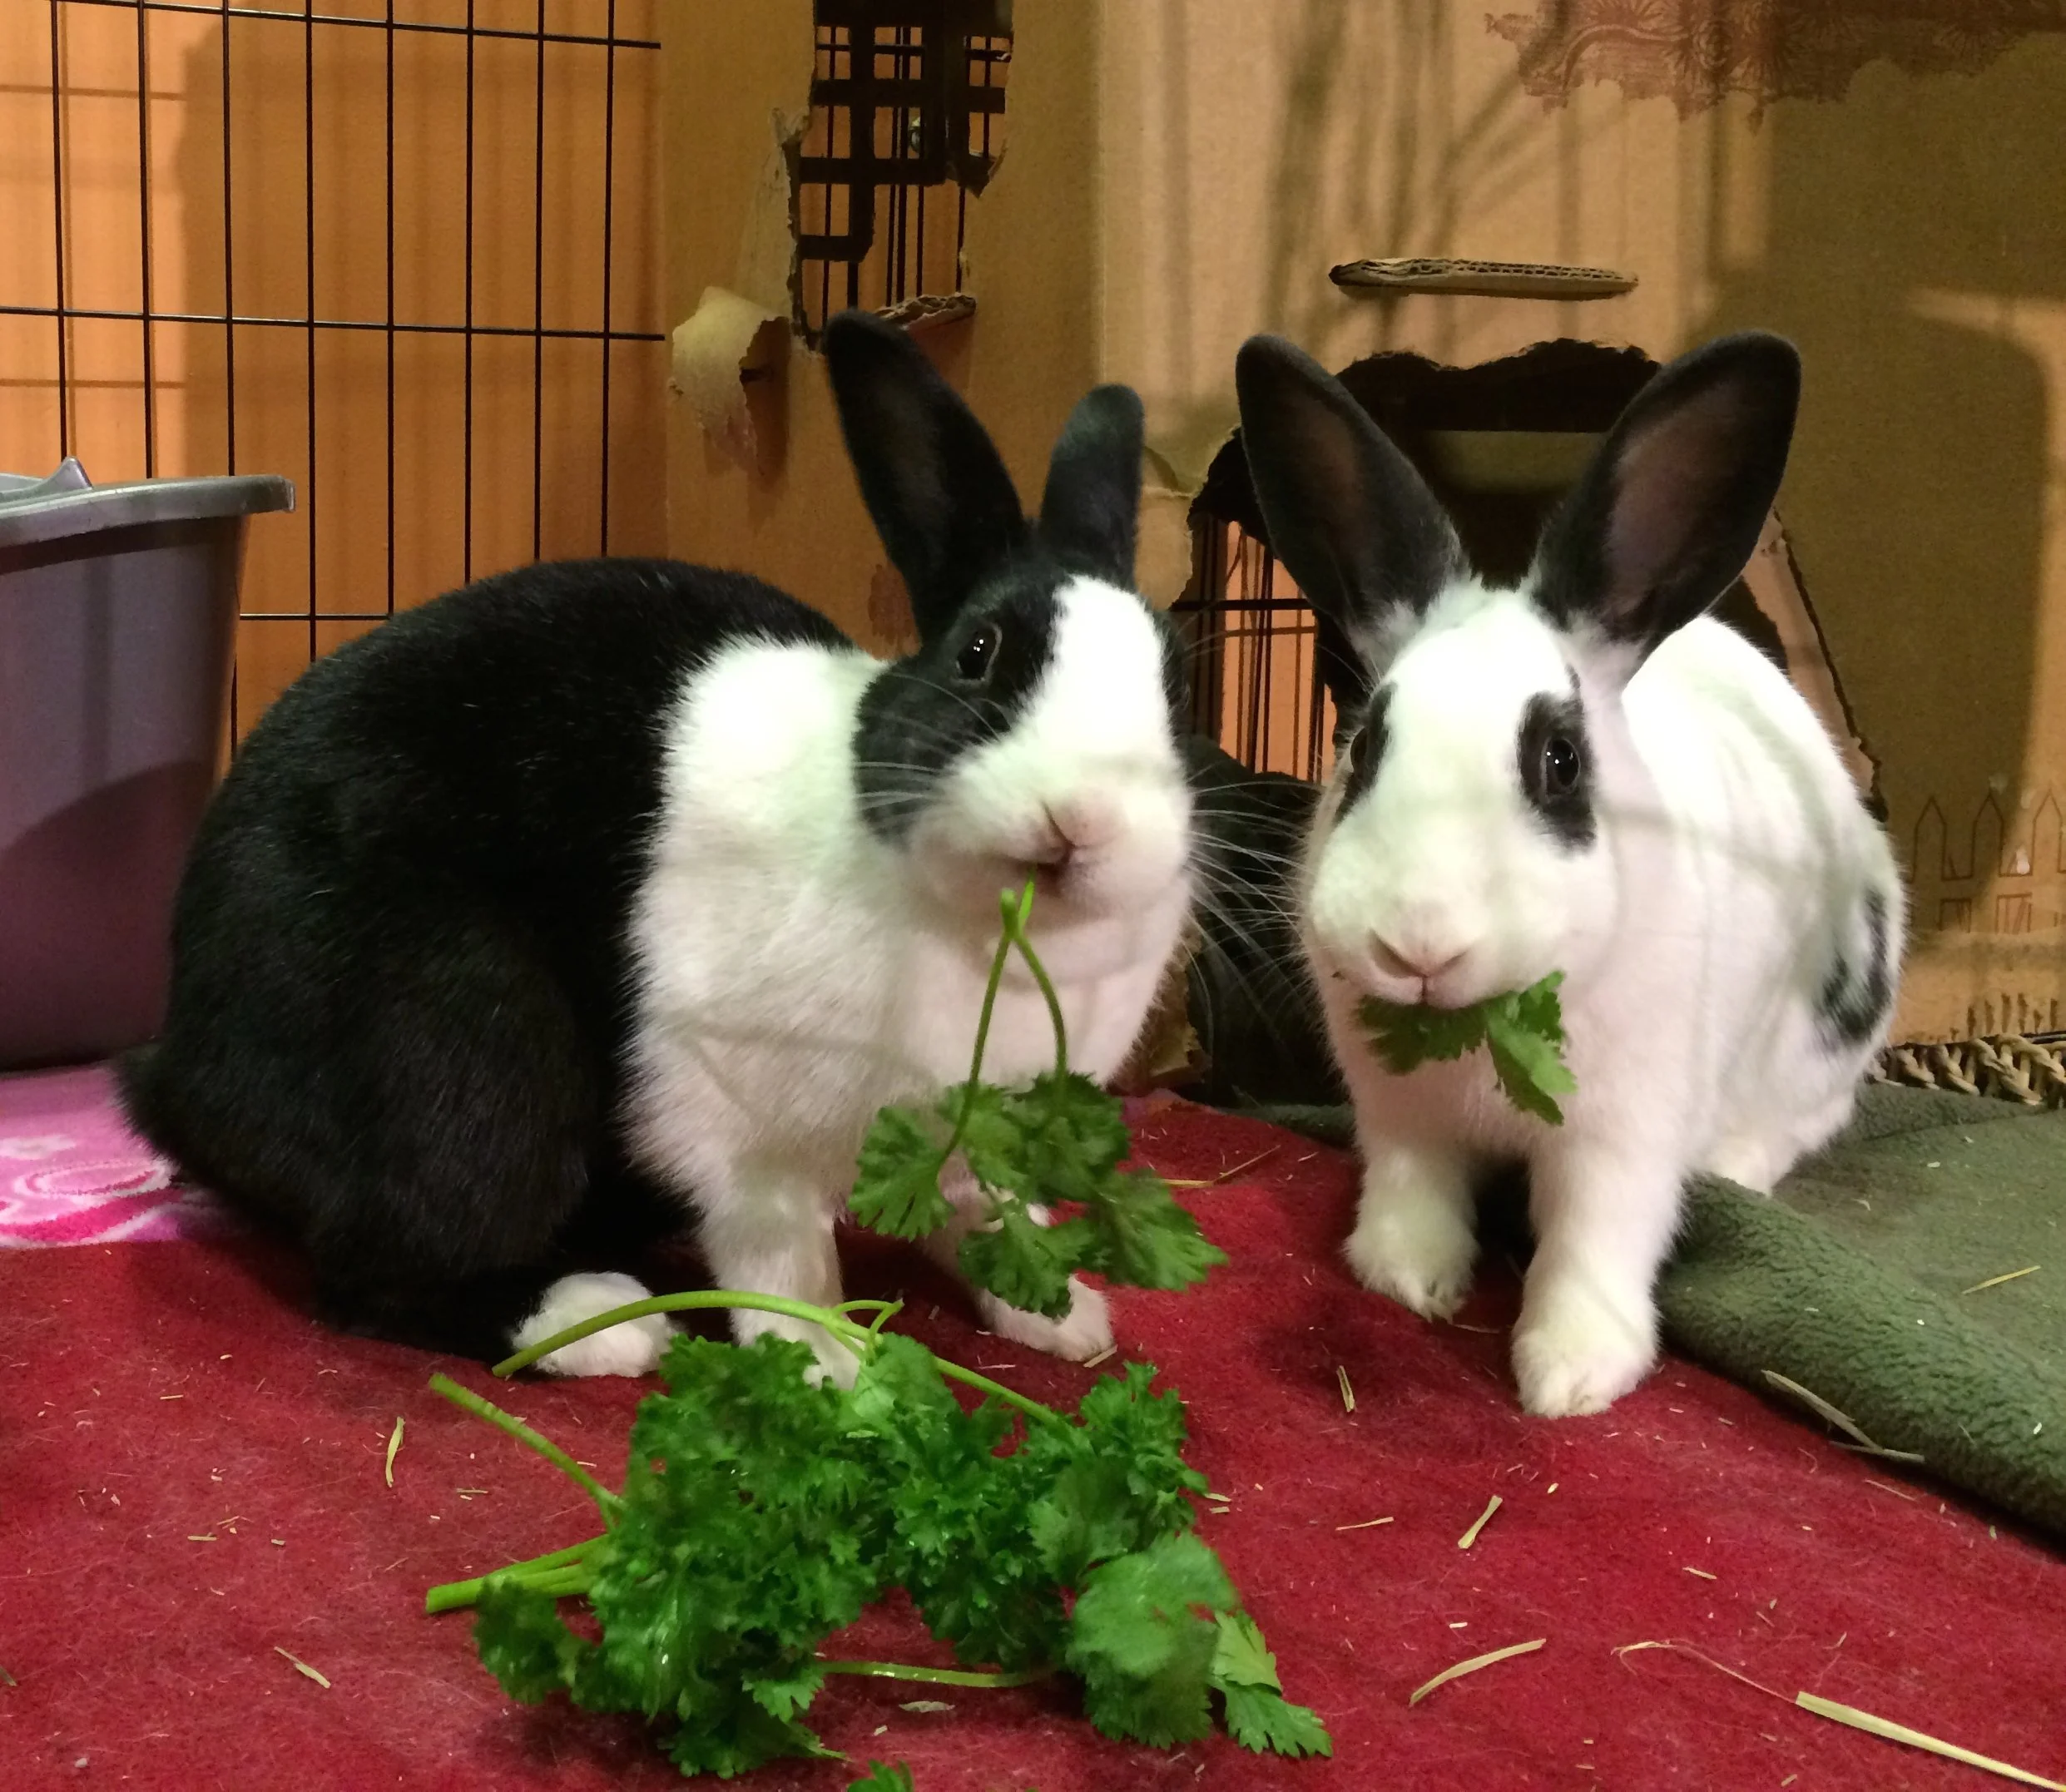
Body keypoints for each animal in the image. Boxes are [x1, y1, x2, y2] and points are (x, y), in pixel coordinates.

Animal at [119, 308, 1196, 1383]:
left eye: (1173, 684)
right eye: (978, 655)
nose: (1080, 819)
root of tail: (180, 1078)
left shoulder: (970, 1147)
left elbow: (985, 1217)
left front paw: (1063, 1316)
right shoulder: (731, 1114)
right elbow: (782, 1256)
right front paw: (828, 1363)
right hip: (458, 1038)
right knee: (380, 1271)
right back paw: (600, 1320)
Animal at [1232, 329, 1904, 1418]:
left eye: (1559, 763)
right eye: (1362, 744)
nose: (1416, 943)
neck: (1478, 1028)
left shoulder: (1620, 1141)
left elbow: (1596, 1238)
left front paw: (1569, 1375)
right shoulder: (1399, 1115)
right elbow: (1415, 1189)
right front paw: (1408, 1279)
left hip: (1822, 1053)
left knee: (1791, 1125)